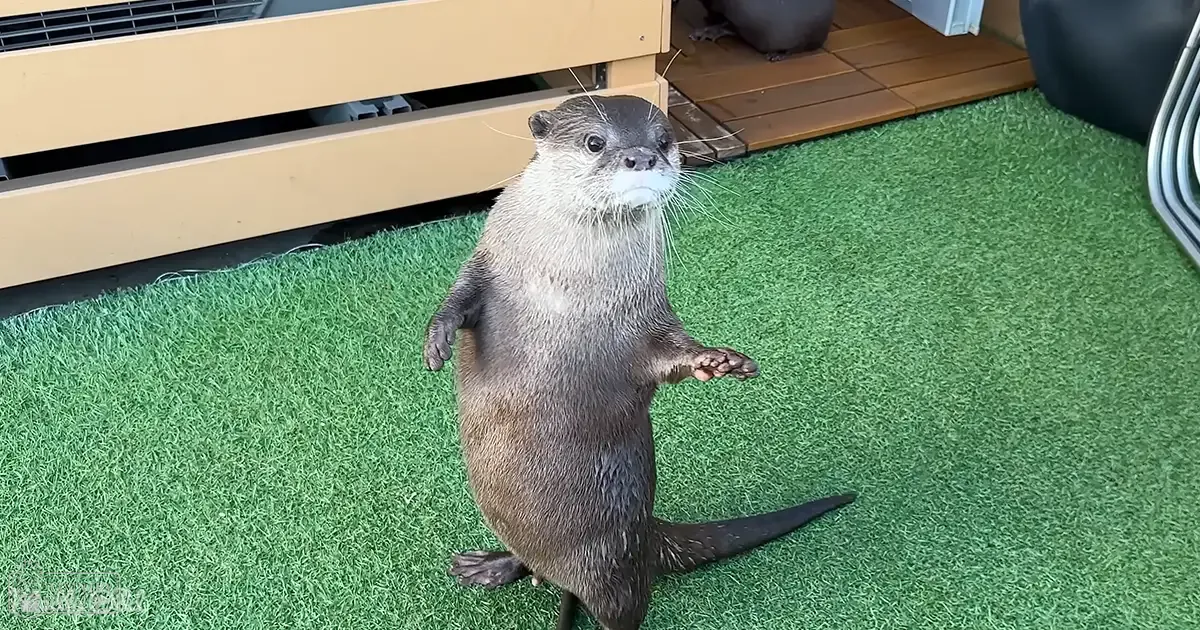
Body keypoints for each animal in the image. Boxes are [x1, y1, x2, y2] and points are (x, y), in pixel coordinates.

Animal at [423, 93, 855, 630]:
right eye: (595, 142)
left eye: (665, 139)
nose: (643, 157)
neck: (564, 288)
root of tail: (650, 533)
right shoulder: (488, 261)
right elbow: (460, 294)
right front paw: (436, 341)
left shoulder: (649, 317)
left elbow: (669, 353)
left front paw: (719, 362)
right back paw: (494, 566)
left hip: (612, 559)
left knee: (619, 606)